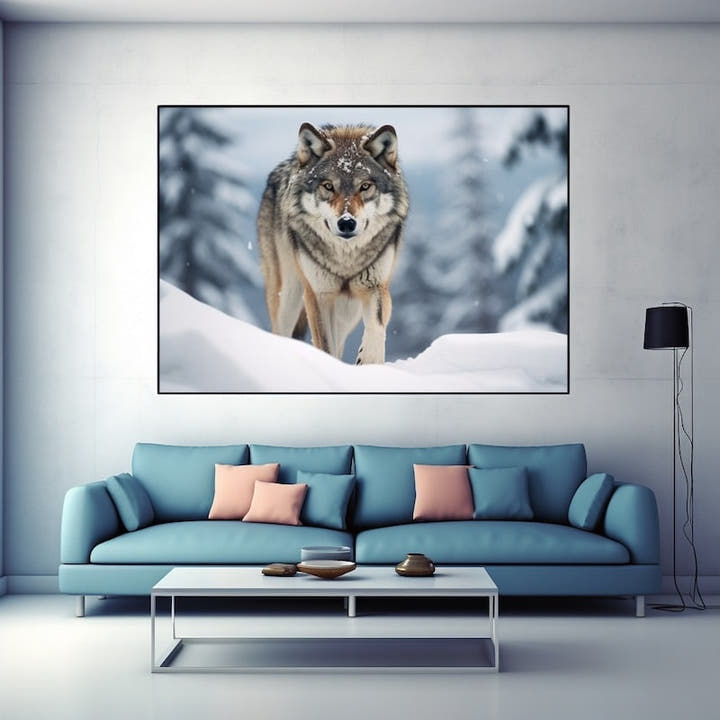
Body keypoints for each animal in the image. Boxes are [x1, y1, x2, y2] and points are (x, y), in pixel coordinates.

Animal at [257, 122, 409, 365]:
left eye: (365, 186)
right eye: (328, 186)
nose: (346, 223)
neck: (345, 259)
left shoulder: (376, 286)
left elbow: (376, 327)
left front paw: (369, 361)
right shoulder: (317, 295)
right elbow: (324, 345)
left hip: (348, 310)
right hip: (288, 297)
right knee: (280, 331)